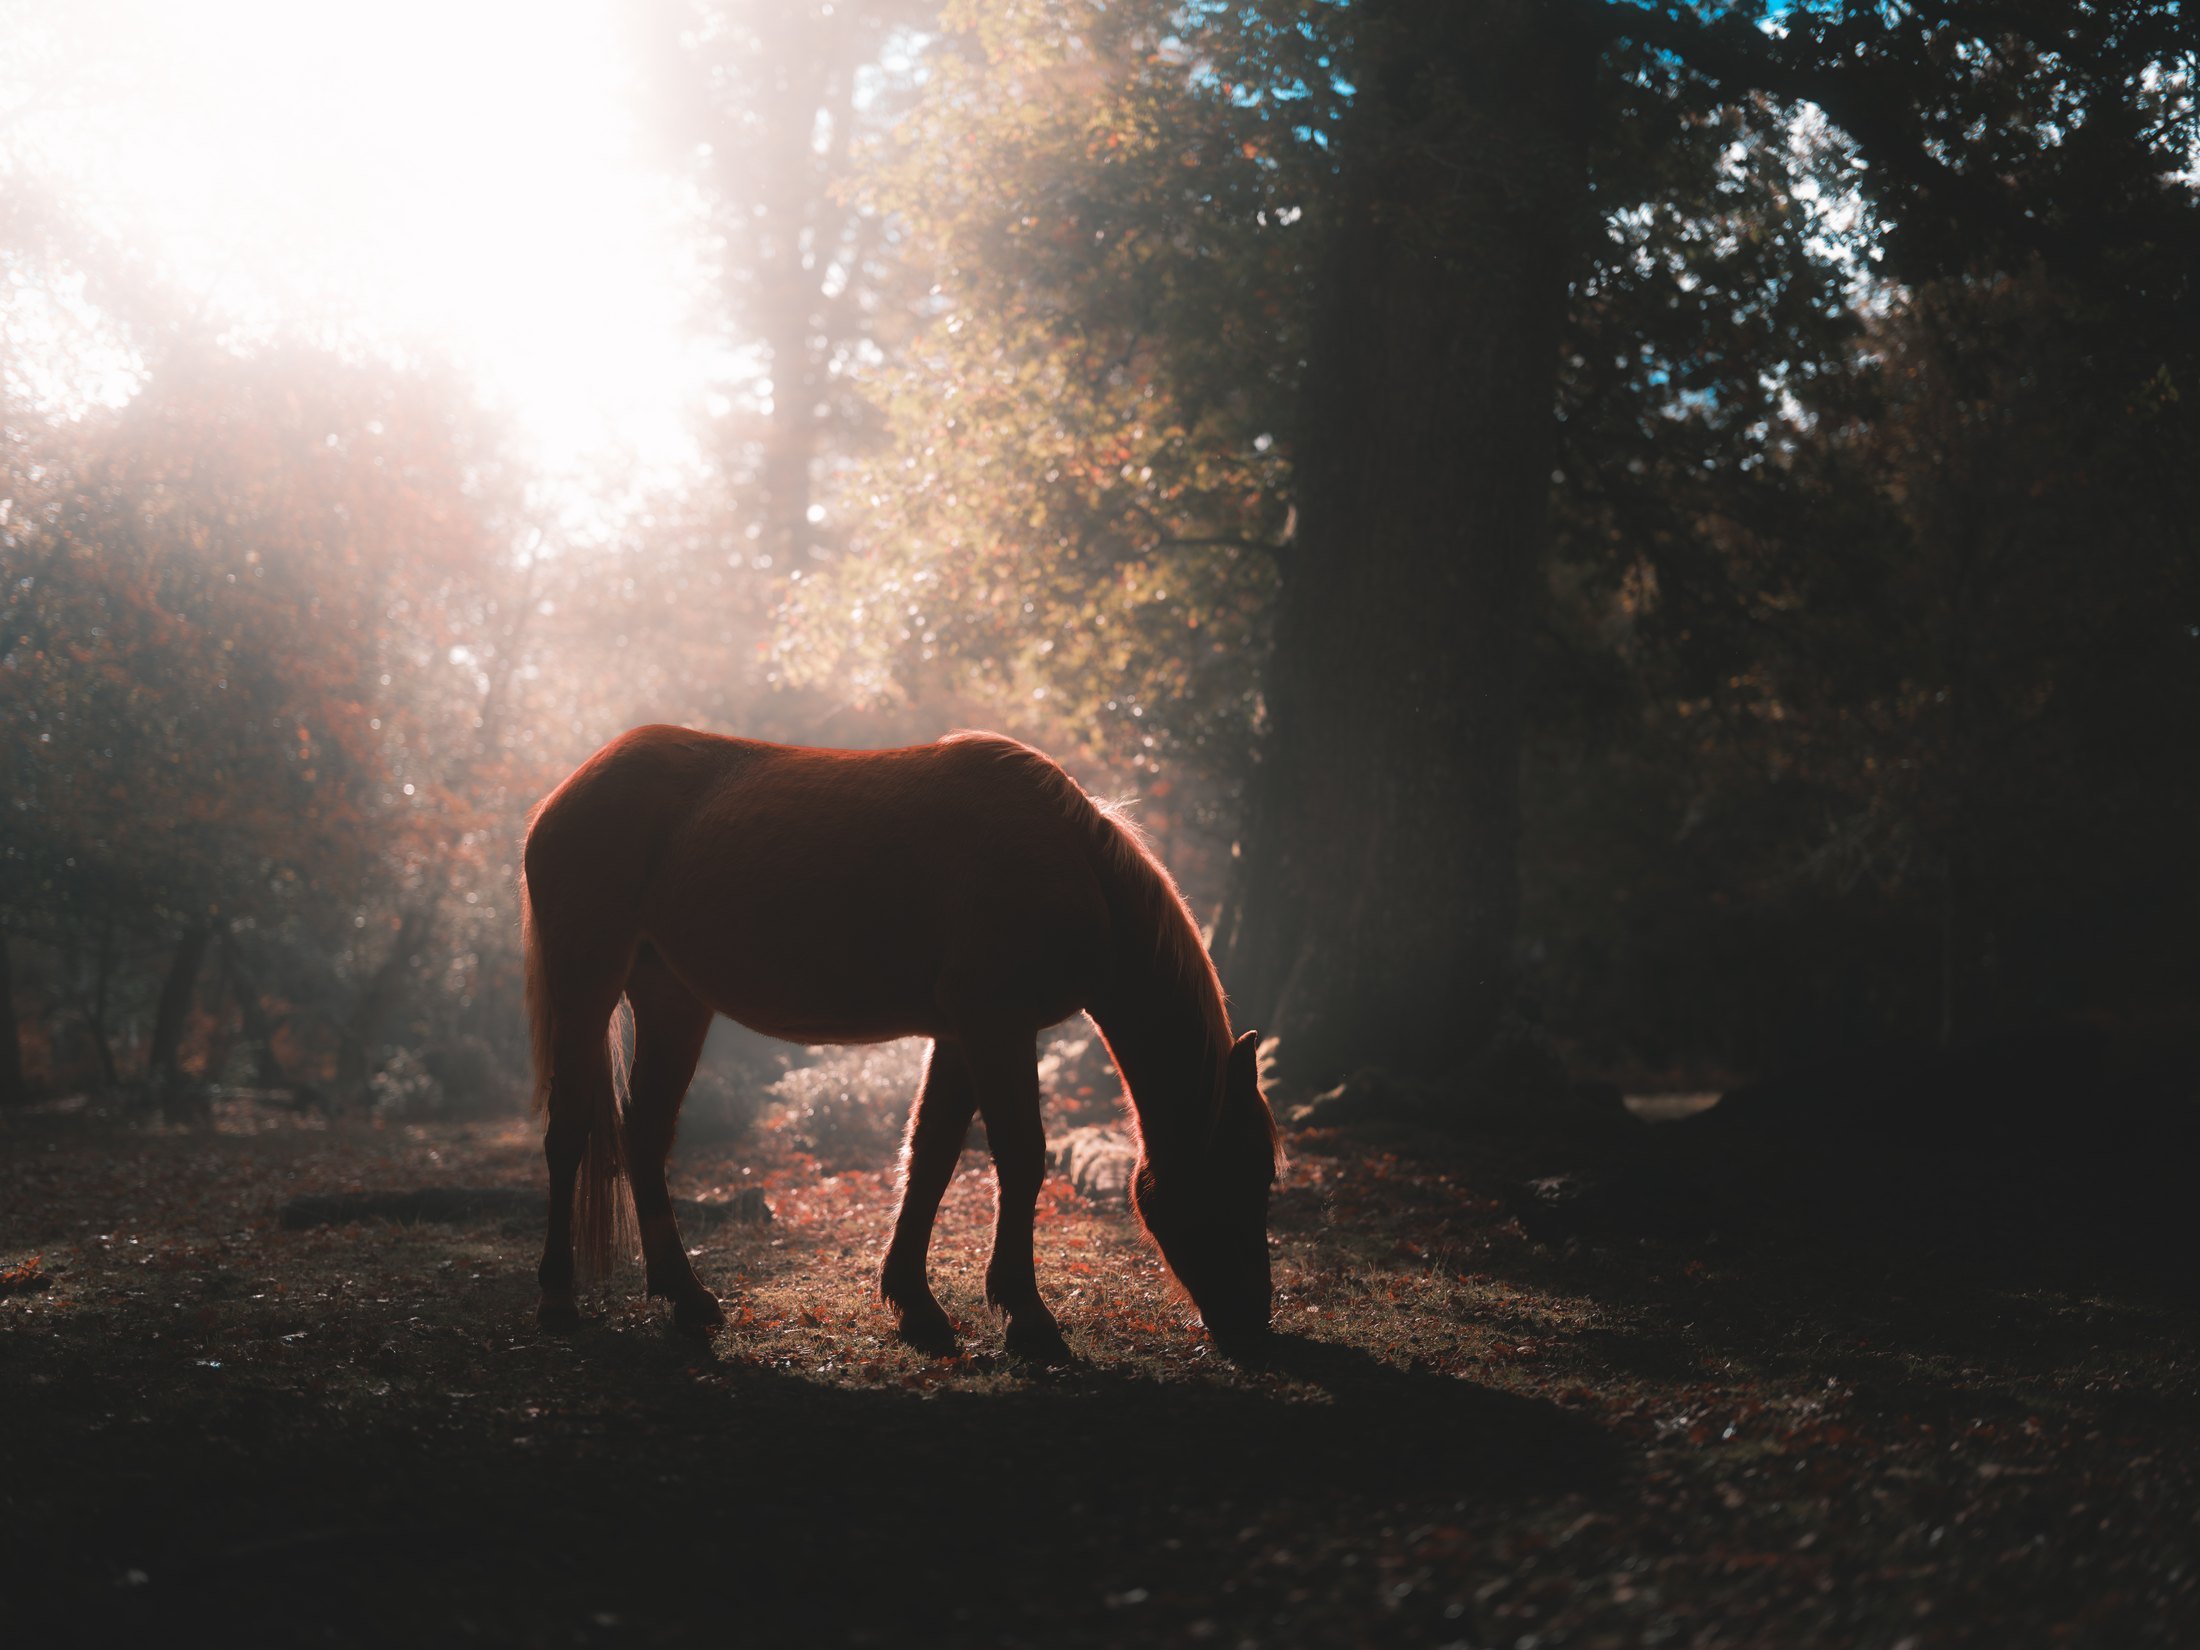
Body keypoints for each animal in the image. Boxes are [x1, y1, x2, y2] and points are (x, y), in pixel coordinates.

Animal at [519, 725, 1278, 1359]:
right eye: (1248, 1171)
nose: (1255, 1324)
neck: (1071, 860)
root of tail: (564, 795)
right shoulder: (996, 1024)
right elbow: (1020, 1158)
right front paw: (1029, 1318)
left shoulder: (961, 1034)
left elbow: (932, 1155)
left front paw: (917, 1305)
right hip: (587, 987)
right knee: (570, 1132)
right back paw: (556, 1297)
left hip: (672, 1000)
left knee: (644, 1134)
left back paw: (686, 1297)